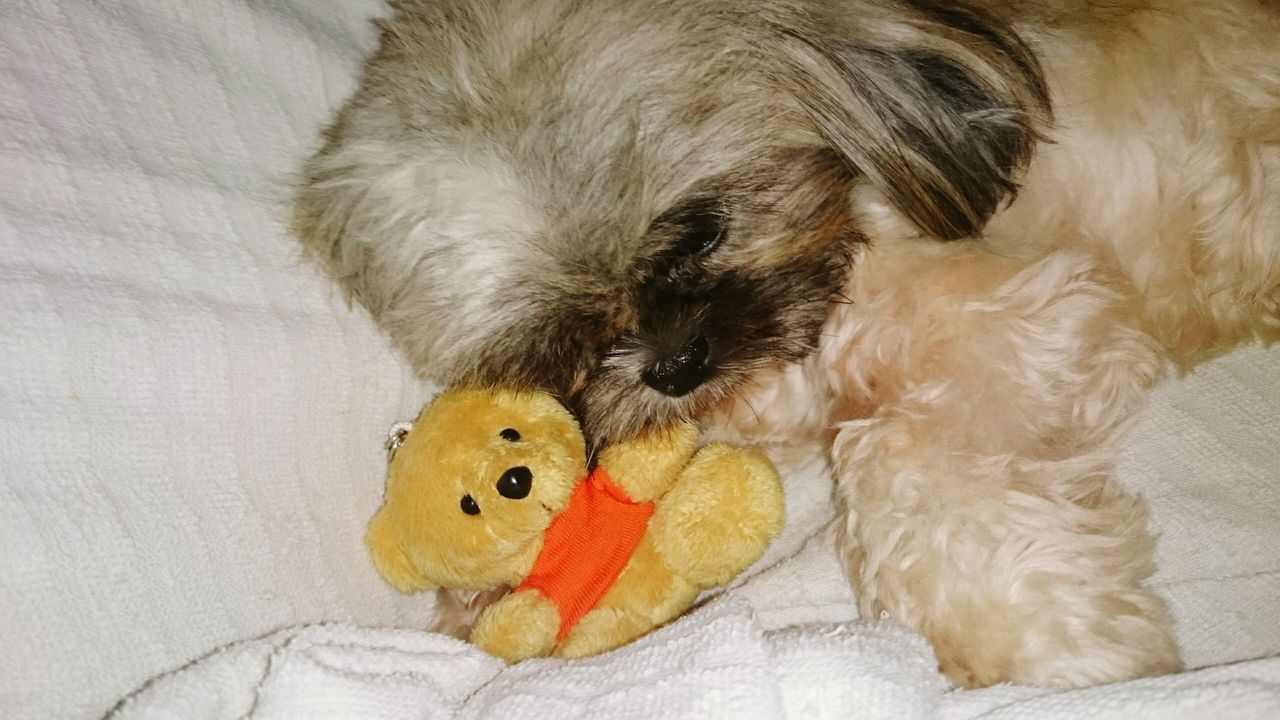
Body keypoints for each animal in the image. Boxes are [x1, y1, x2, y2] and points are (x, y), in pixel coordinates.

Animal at [293, 0, 1280, 686]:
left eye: (699, 234)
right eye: (564, 341)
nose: (676, 360)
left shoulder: (1028, 318)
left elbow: (895, 456)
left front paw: (1029, 646)